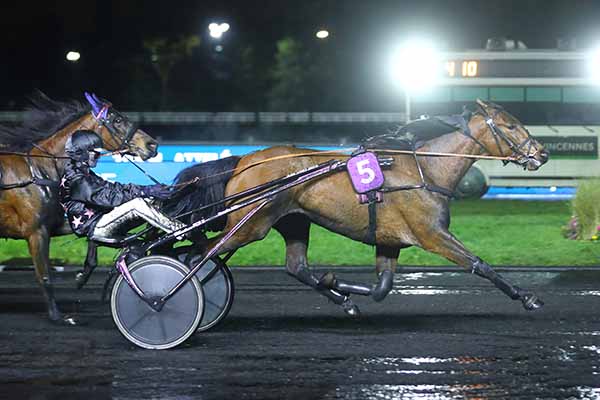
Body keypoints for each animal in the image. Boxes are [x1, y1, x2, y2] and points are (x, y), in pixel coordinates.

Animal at [0, 92, 158, 324]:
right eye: (117, 119)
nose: (152, 145)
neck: (38, 171)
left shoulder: (57, 223)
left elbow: (91, 237)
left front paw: (82, 276)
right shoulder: (36, 232)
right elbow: (45, 275)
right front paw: (57, 316)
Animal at [172, 100, 548, 316]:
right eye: (511, 125)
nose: (542, 153)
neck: (423, 168)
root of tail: (242, 162)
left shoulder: (390, 240)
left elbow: (382, 288)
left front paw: (337, 283)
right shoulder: (432, 234)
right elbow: (480, 265)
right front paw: (527, 297)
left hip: (293, 221)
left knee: (296, 267)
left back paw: (342, 300)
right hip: (249, 226)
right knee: (198, 253)